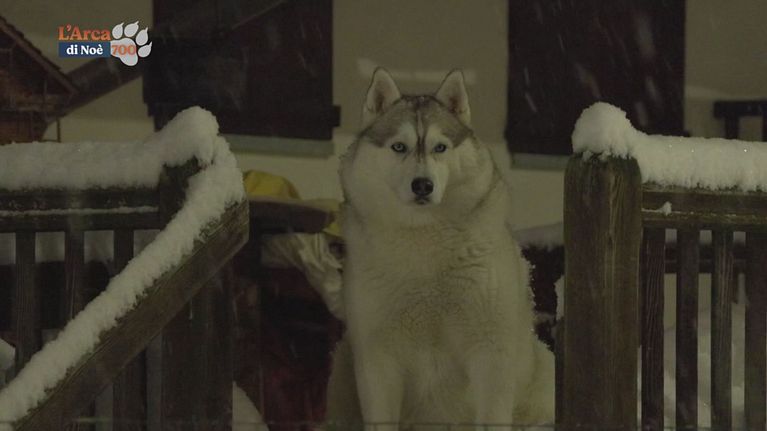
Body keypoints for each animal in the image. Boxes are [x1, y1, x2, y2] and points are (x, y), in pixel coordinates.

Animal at [338, 69, 555, 430]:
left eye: (440, 147)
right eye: (399, 146)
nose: (423, 185)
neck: (424, 239)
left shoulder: (489, 350)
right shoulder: (377, 354)